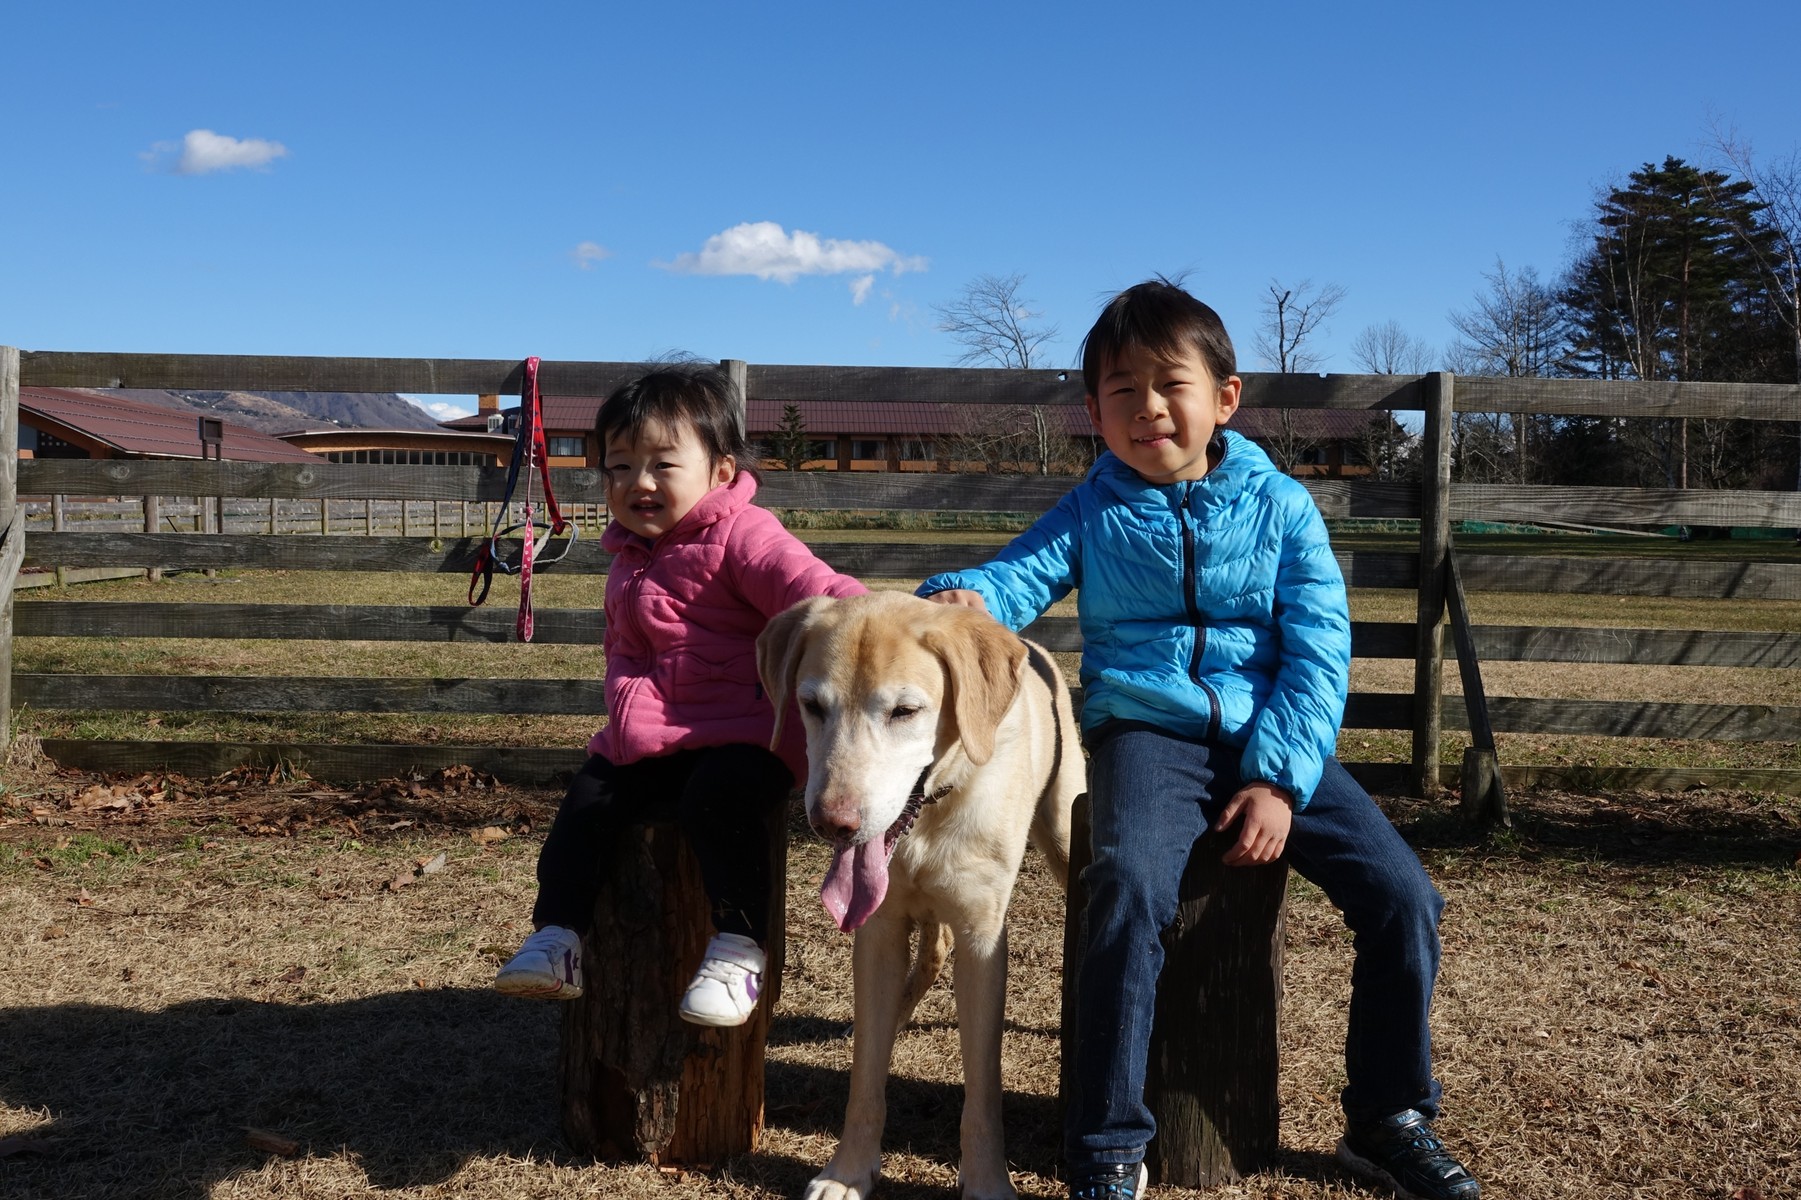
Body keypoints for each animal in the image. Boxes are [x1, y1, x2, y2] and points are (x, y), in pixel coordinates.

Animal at [757, 590, 1084, 1200]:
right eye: (811, 706)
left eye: (904, 712)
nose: (831, 824)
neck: (931, 815)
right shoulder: (879, 931)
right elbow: (865, 1074)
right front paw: (848, 1171)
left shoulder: (984, 939)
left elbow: (983, 1085)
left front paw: (988, 1182)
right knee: (929, 953)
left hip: (1065, 833)